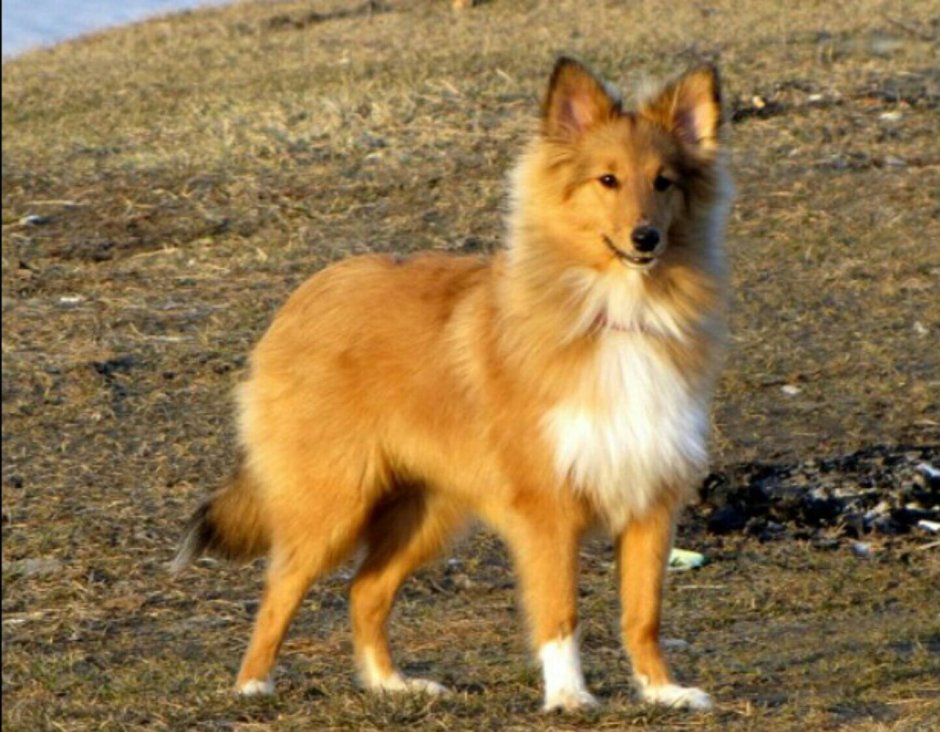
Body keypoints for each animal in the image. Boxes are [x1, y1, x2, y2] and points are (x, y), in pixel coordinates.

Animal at [174, 56, 731, 712]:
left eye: (664, 181)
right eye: (608, 180)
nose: (646, 238)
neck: (615, 313)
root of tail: (300, 298)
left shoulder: (650, 500)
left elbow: (643, 616)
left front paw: (663, 691)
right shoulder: (549, 510)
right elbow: (560, 614)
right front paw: (569, 697)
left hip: (425, 511)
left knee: (364, 589)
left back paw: (391, 683)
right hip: (334, 501)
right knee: (280, 586)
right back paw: (253, 684)